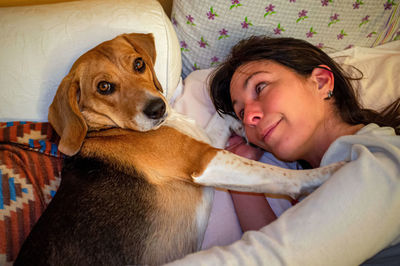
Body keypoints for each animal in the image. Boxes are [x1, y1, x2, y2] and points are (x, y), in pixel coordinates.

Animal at [14, 32, 342, 264]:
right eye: (103, 87)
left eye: (138, 64)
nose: (158, 108)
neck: (108, 129)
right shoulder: (203, 158)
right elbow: (277, 175)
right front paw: (329, 172)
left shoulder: (203, 143)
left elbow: (219, 121)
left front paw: (239, 122)